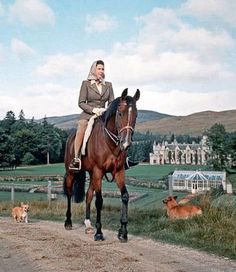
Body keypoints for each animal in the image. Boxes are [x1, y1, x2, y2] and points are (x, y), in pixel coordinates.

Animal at [63, 88, 139, 241]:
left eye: (136, 115)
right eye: (120, 113)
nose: (126, 144)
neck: (110, 144)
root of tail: (70, 137)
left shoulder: (119, 171)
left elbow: (125, 196)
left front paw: (123, 232)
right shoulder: (98, 171)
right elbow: (99, 201)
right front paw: (99, 233)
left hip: (92, 174)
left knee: (88, 195)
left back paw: (88, 225)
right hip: (71, 172)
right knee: (69, 193)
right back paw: (68, 222)